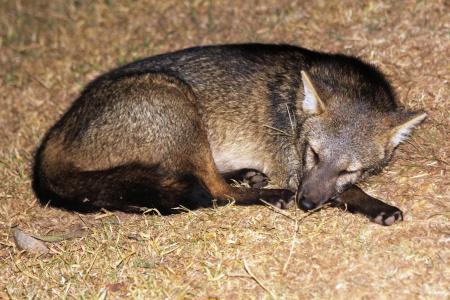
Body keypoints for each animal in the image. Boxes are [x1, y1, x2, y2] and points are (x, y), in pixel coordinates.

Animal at [33, 42, 428, 225]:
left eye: (349, 168)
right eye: (313, 154)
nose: (305, 204)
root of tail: (59, 128)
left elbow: (344, 189)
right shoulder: (295, 171)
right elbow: (347, 193)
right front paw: (374, 205)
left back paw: (247, 176)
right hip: (178, 103)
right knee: (214, 192)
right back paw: (265, 194)